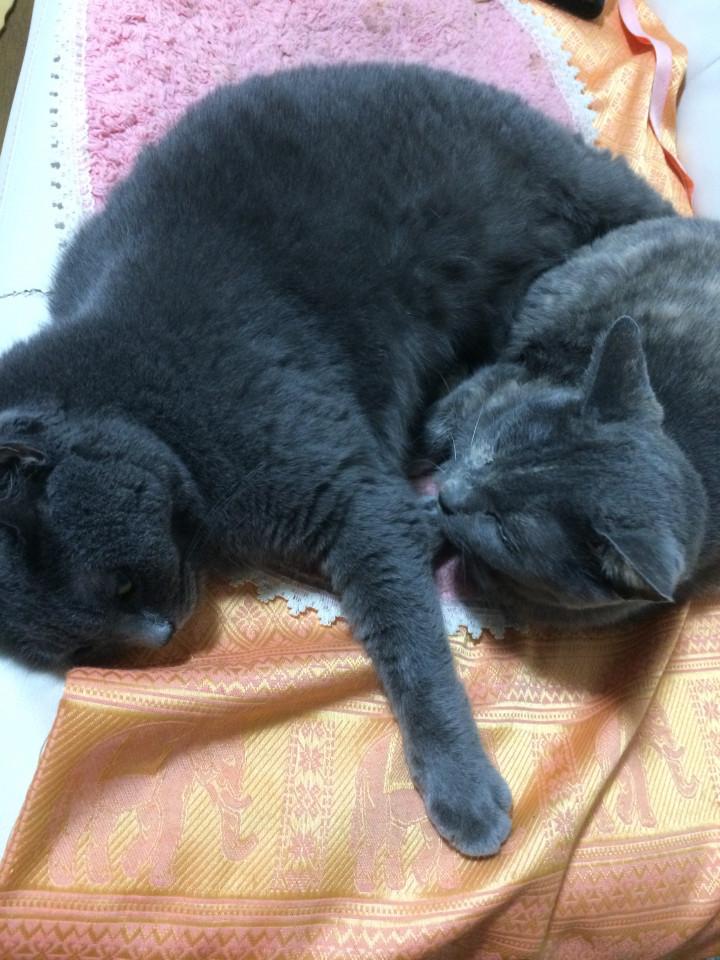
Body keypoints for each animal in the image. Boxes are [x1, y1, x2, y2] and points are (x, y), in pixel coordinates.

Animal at [0, 63, 672, 854]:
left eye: (122, 588)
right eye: (87, 648)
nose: (160, 637)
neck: (141, 399)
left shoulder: (347, 502)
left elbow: (411, 651)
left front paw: (462, 792)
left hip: (563, 181)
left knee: (646, 203)